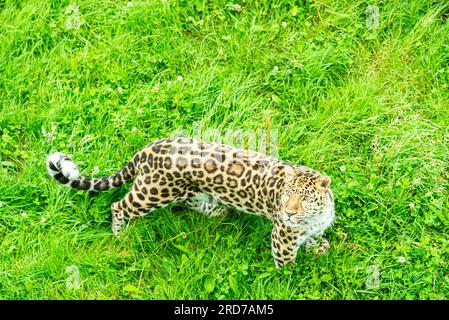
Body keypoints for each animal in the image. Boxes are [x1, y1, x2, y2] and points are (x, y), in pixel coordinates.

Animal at [47, 136, 334, 268]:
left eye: (306, 198)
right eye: (287, 195)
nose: (288, 213)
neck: (315, 217)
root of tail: (146, 149)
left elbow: (313, 239)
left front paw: (319, 248)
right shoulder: (282, 237)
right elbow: (286, 264)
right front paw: (291, 278)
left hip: (184, 191)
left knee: (190, 202)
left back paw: (218, 212)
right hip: (152, 192)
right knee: (119, 206)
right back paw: (120, 234)